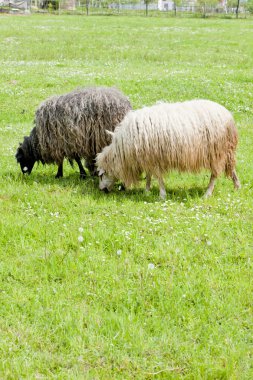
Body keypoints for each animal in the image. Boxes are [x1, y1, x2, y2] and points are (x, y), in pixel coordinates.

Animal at [96, 99, 241, 199]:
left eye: (102, 174)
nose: (101, 190)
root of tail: (228, 115)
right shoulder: (149, 157)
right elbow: (149, 176)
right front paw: (147, 191)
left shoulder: (154, 158)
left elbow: (158, 177)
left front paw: (162, 194)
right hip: (226, 151)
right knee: (232, 168)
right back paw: (237, 187)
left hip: (216, 152)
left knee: (214, 175)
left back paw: (207, 193)